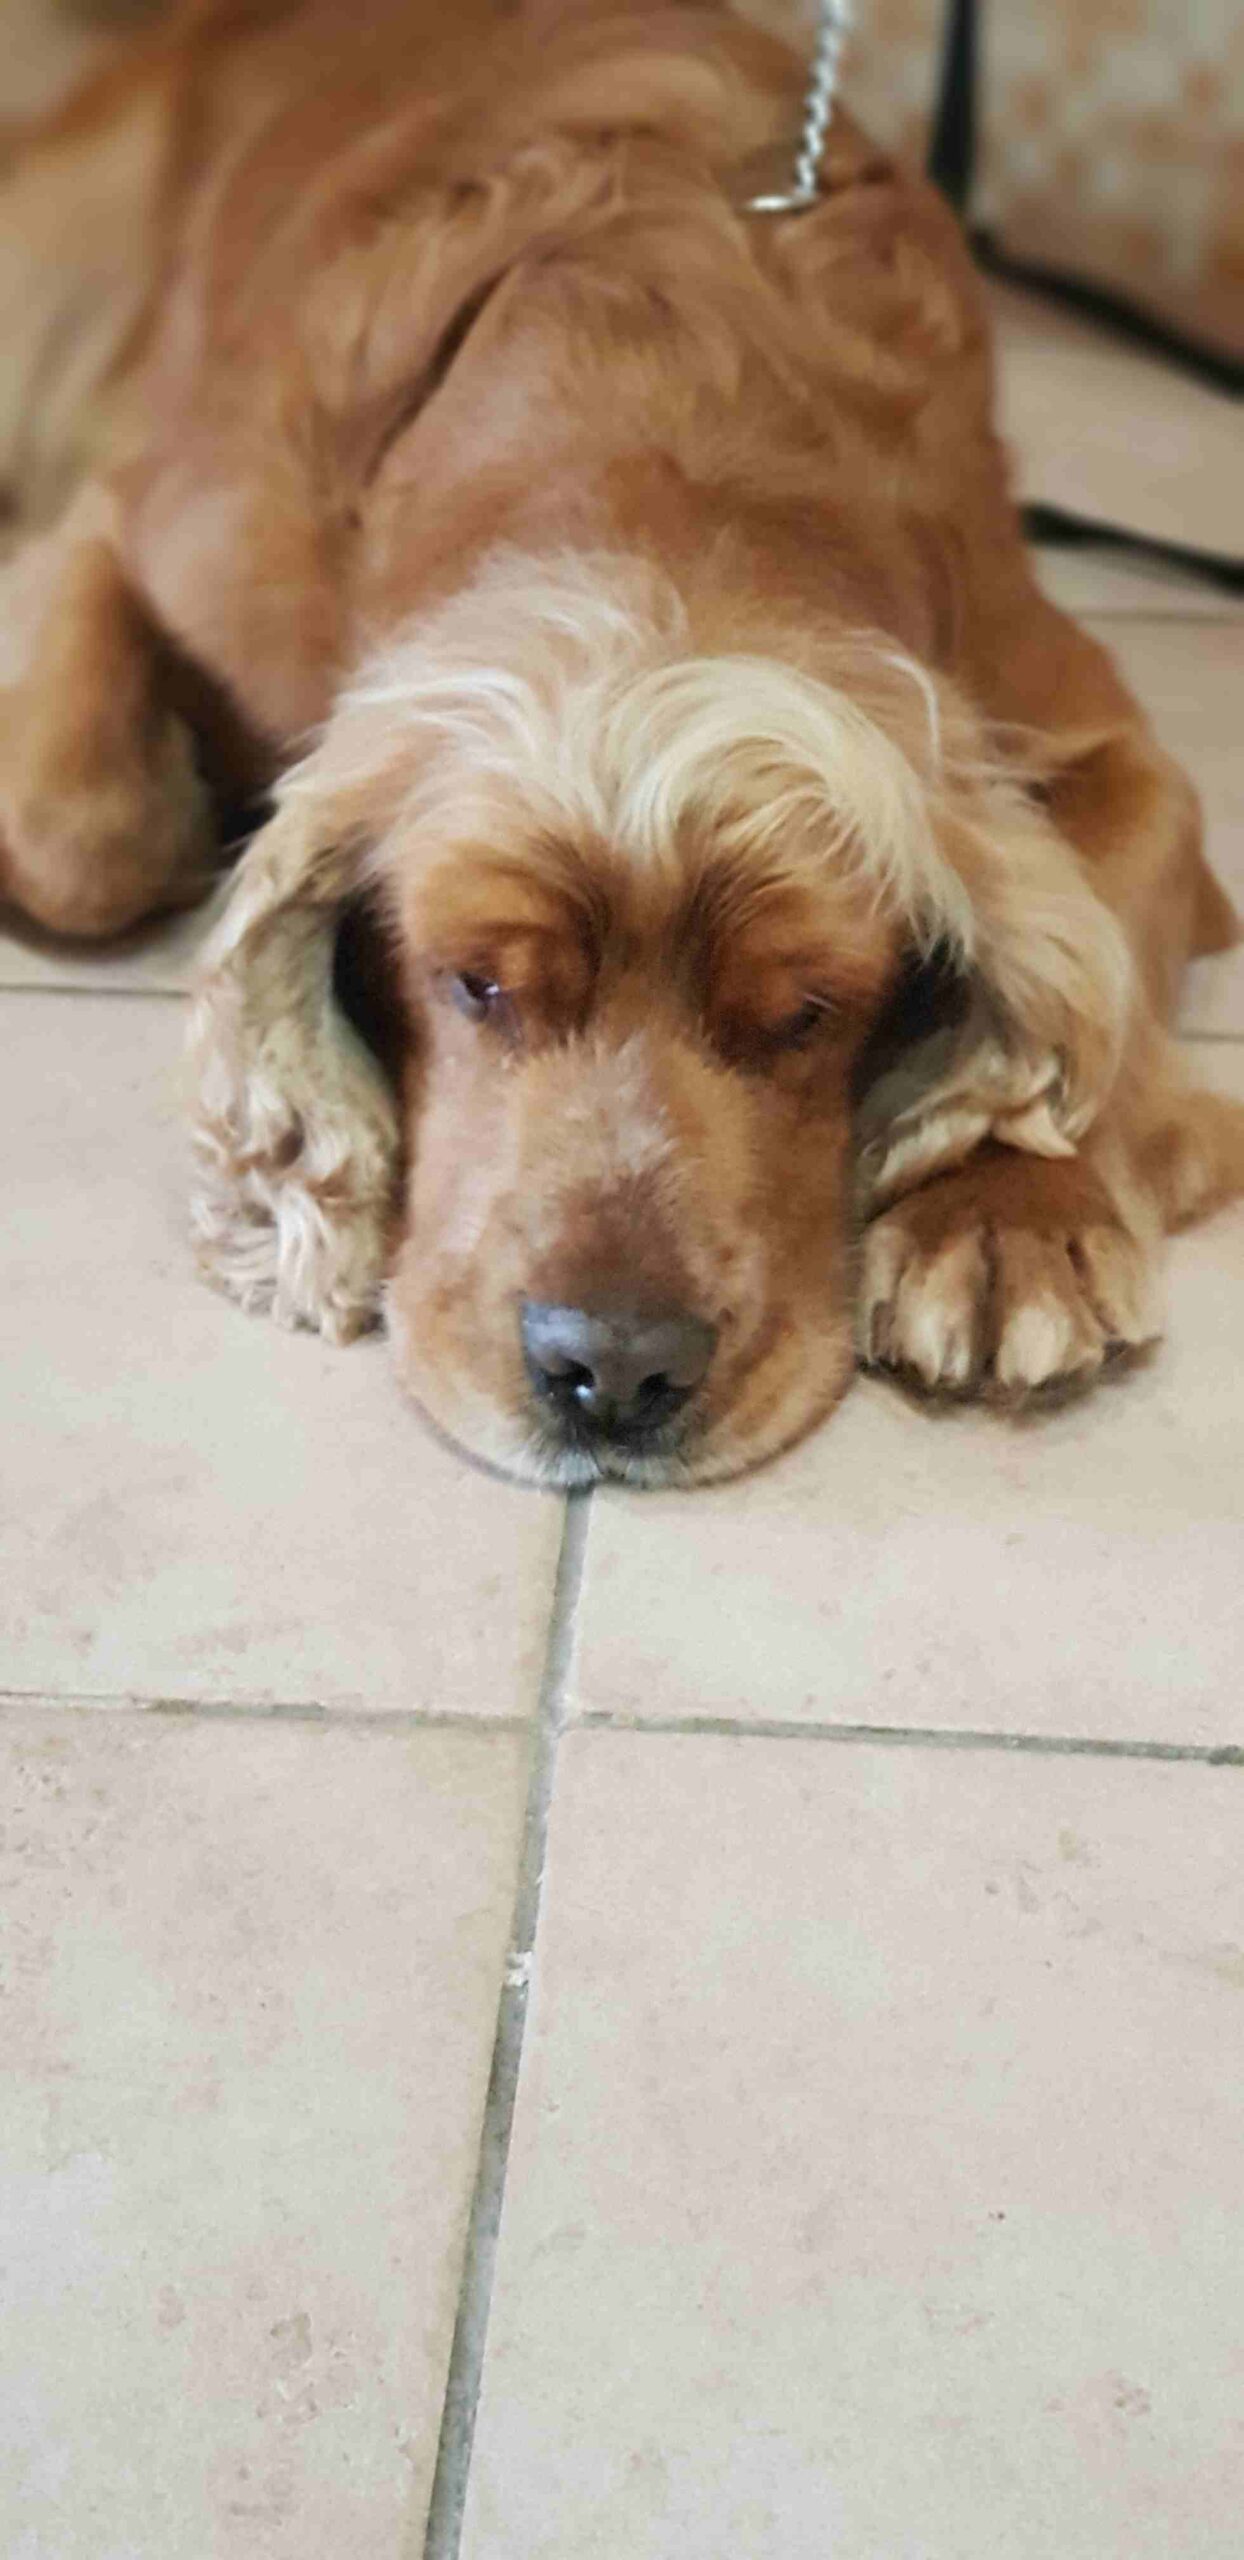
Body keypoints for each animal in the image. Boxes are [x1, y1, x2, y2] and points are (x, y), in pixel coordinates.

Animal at [2, 0, 1240, 1487]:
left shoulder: (1085, 726)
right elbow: (76, 832)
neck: (666, 455)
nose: (612, 1370)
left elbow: (1100, 928)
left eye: (806, 1014)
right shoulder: (141, 525)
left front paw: (1008, 1212)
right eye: (475, 984)